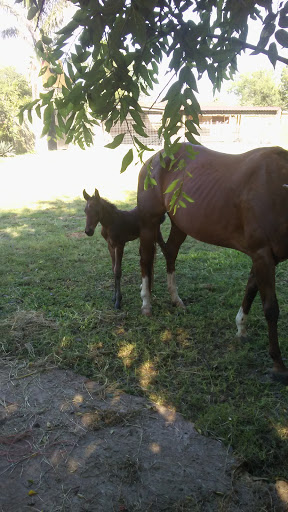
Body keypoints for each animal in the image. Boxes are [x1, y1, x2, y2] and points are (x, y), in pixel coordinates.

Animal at [137, 142, 288, 382]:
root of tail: (155, 157)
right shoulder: (263, 255)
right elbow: (271, 308)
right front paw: (278, 365)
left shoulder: (264, 257)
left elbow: (250, 289)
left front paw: (241, 329)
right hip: (148, 222)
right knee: (146, 259)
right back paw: (146, 304)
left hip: (180, 224)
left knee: (170, 253)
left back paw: (176, 300)